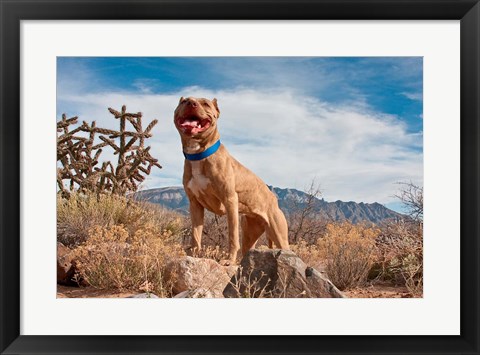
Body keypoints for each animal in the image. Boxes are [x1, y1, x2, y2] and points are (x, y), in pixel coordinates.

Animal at [175, 96, 290, 266]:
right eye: (184, 101)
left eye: (205, 103)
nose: (191, 103)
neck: (199, 154)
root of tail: (273, 198)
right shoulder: (195, 205)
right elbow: (195, 236)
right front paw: (194, 256)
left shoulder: (230, 200)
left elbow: (232, 237)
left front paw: (229, 260)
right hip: (250, 232)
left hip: (279, 234)